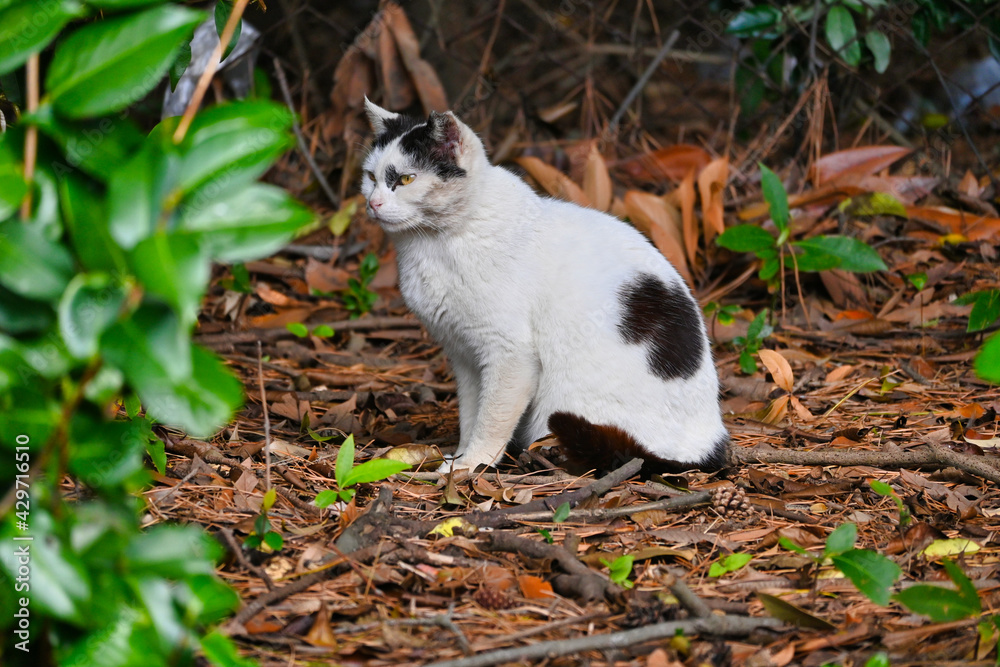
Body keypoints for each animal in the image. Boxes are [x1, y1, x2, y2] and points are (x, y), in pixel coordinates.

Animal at [360, 100, 728, 474]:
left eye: (405, 179)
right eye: (371, 177)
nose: (373, 203)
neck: (434, 244)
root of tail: (710, 444)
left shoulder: (510, 354)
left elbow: (491, 419)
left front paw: (471, 466)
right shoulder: (464, 355)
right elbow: (470, 412)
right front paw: (460, 457)